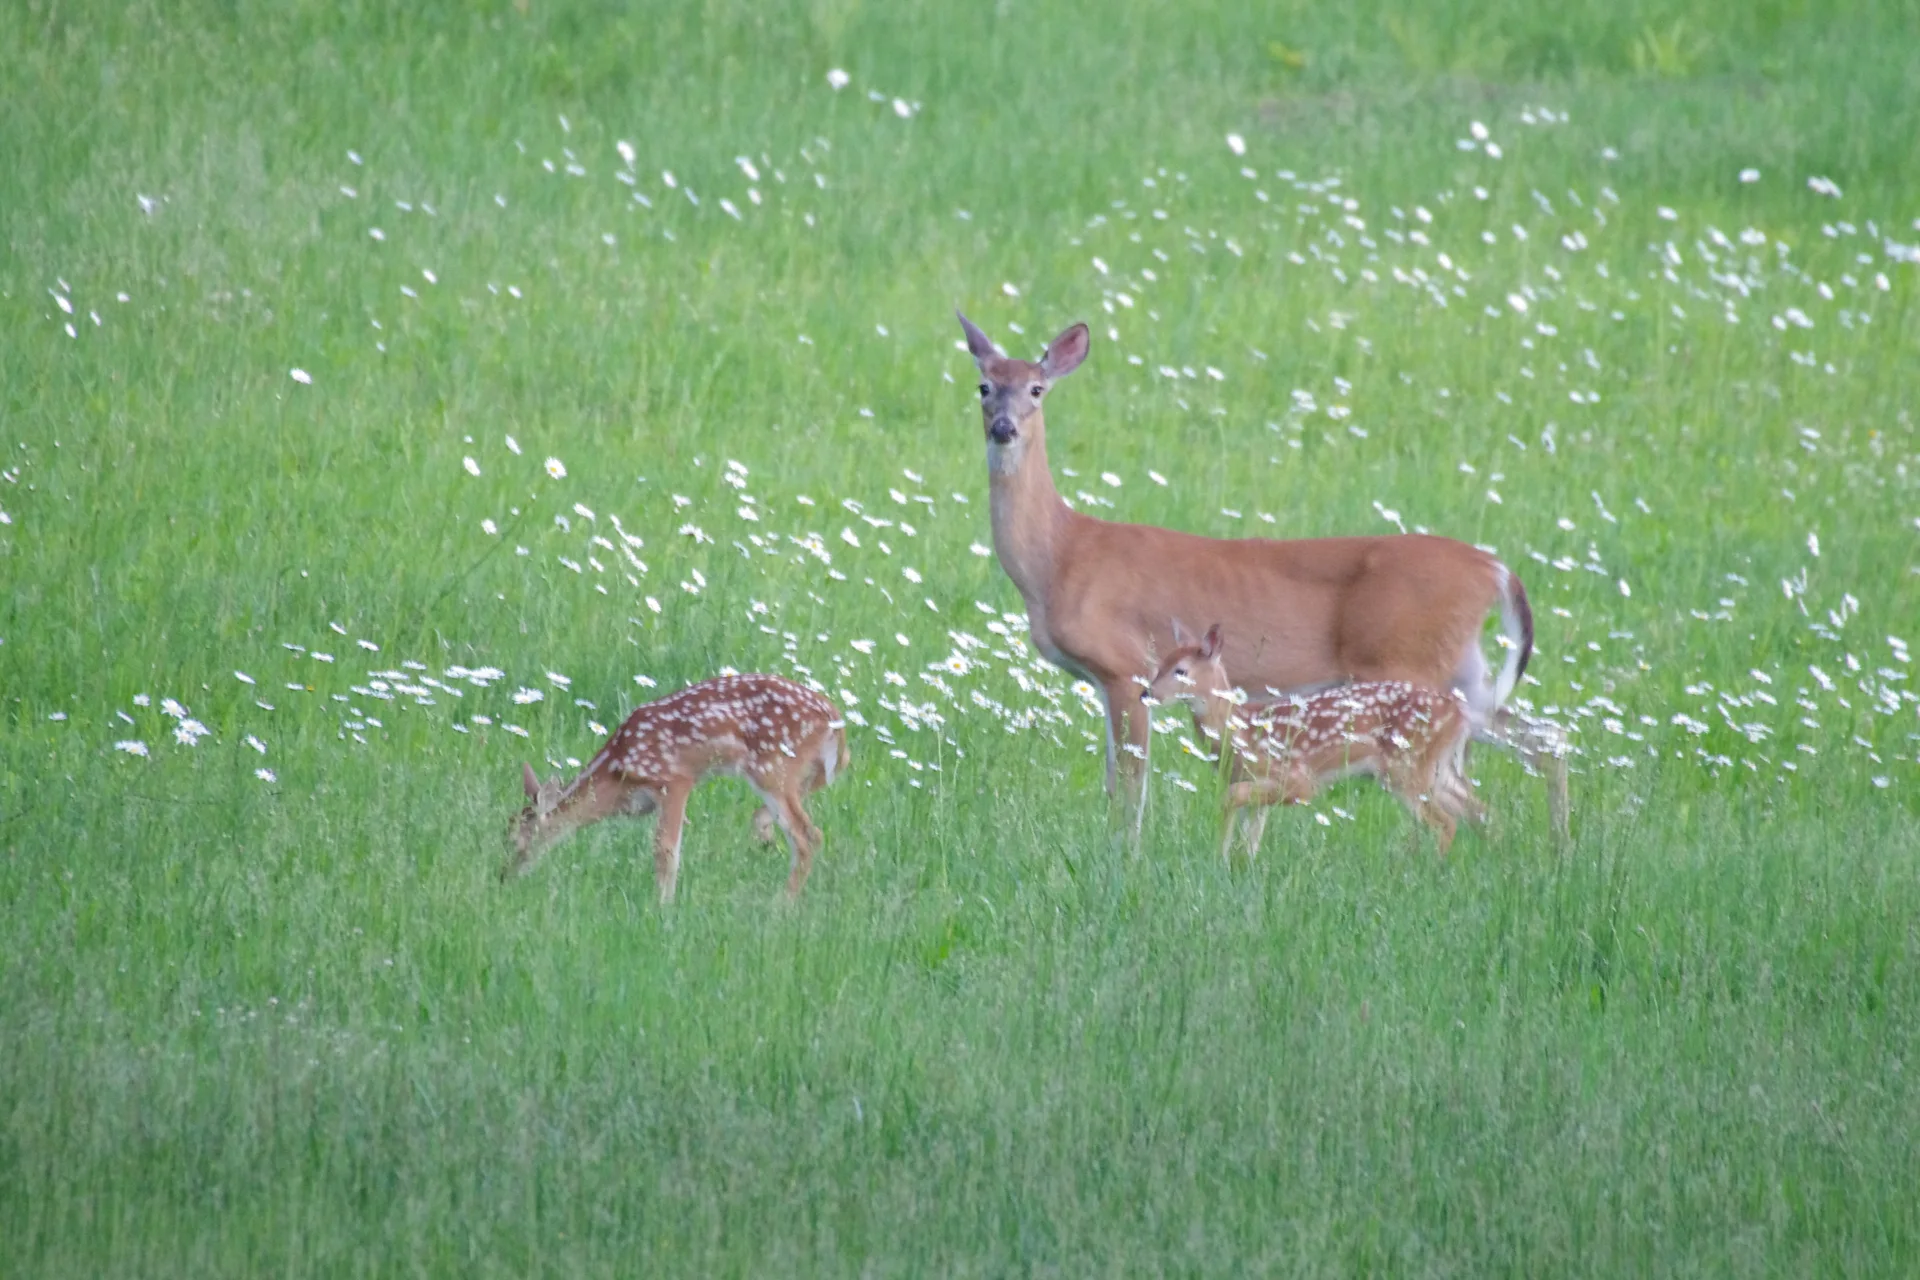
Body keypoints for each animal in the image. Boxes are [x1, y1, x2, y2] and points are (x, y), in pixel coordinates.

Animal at [504, 674, 849, 903]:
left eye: (516, 840)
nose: (504, 877)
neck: (616, 774)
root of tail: (834, 718)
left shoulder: (674, 778)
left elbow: (666, 850)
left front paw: (662, 908)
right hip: (797, 773)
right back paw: (764, 837)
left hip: (773, 768)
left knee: (808, 837)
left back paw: (779, 907)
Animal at [1144, 623, 1486, 858]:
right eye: (1159, 665)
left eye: (1181, 671)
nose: (1146, 693)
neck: (1240, 732)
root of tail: (1460, 712)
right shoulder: (1253, 783)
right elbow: (1252, 833)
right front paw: (1235, 864)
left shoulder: (1298, 778)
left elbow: (1232, 797)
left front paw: (1220, 856)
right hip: (1435, 768)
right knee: (1477, 810)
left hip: (1407, 767)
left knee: (1446, 821)